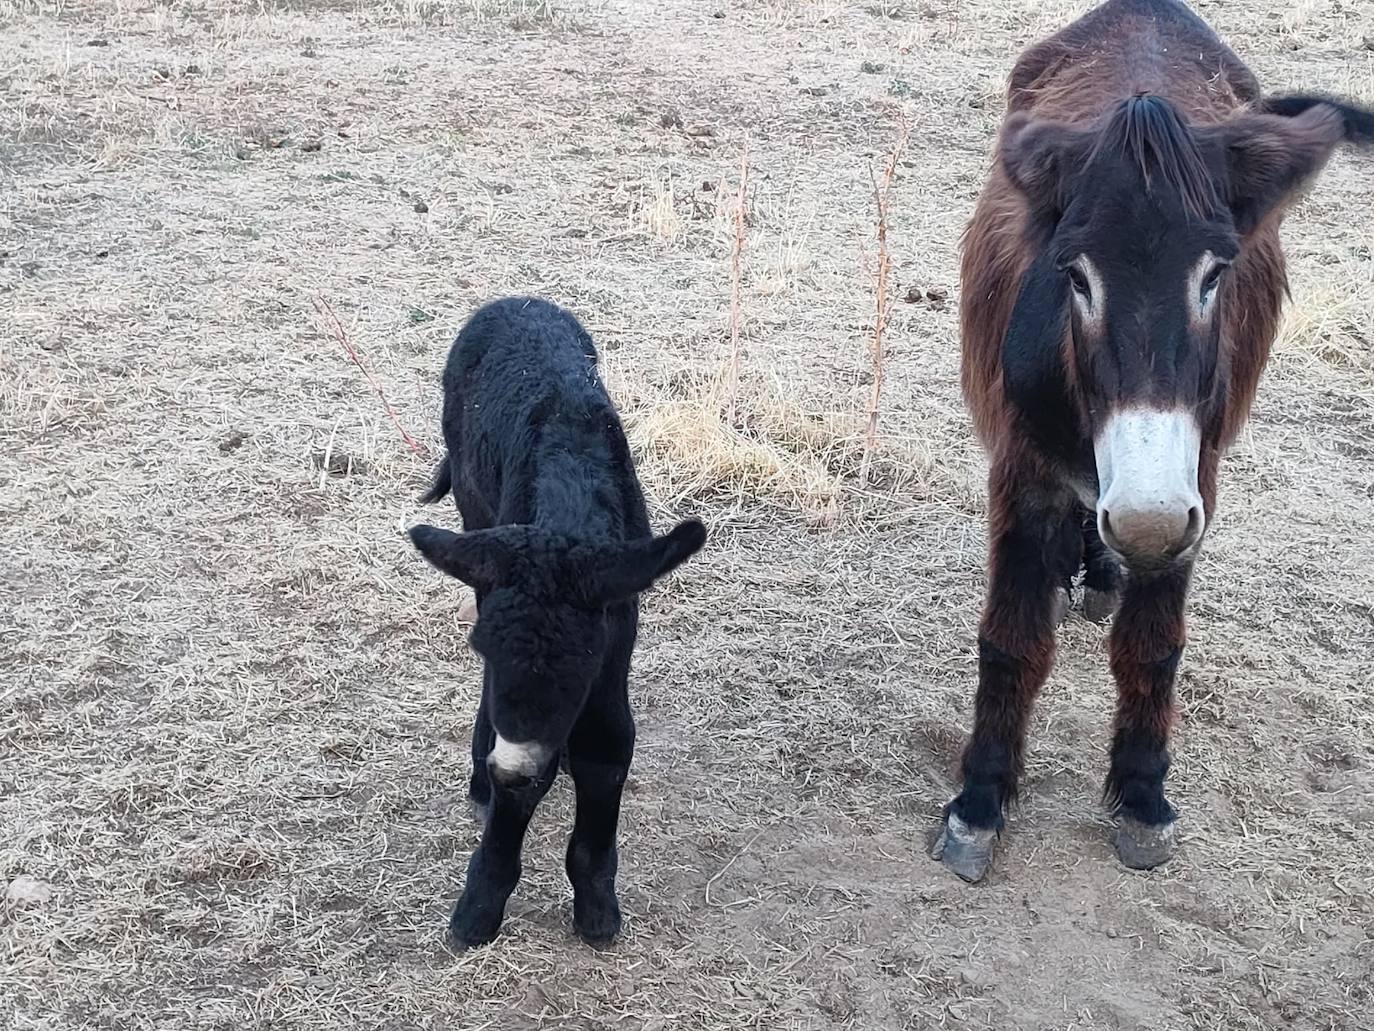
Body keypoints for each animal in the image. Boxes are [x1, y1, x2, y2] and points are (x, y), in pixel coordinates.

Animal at [409, 296, 708, 945]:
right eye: (484, 651)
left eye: (580, 666)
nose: (511, 768)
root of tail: (515, 300)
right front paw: (478, 910)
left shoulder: (611, 644)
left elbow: (607, 752)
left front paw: (597, 911)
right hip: (473, 515)